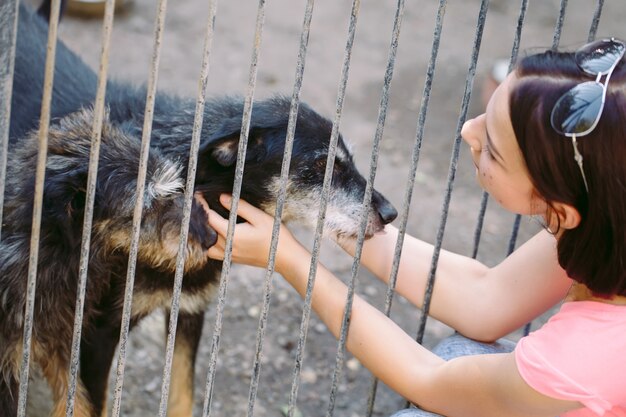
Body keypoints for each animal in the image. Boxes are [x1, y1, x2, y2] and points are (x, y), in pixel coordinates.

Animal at [0, 3, 398, 416]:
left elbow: (183, 396)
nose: (390, 214)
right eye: (322, 165)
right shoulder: (96, 334)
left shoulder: (190, 311)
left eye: (349, 160)